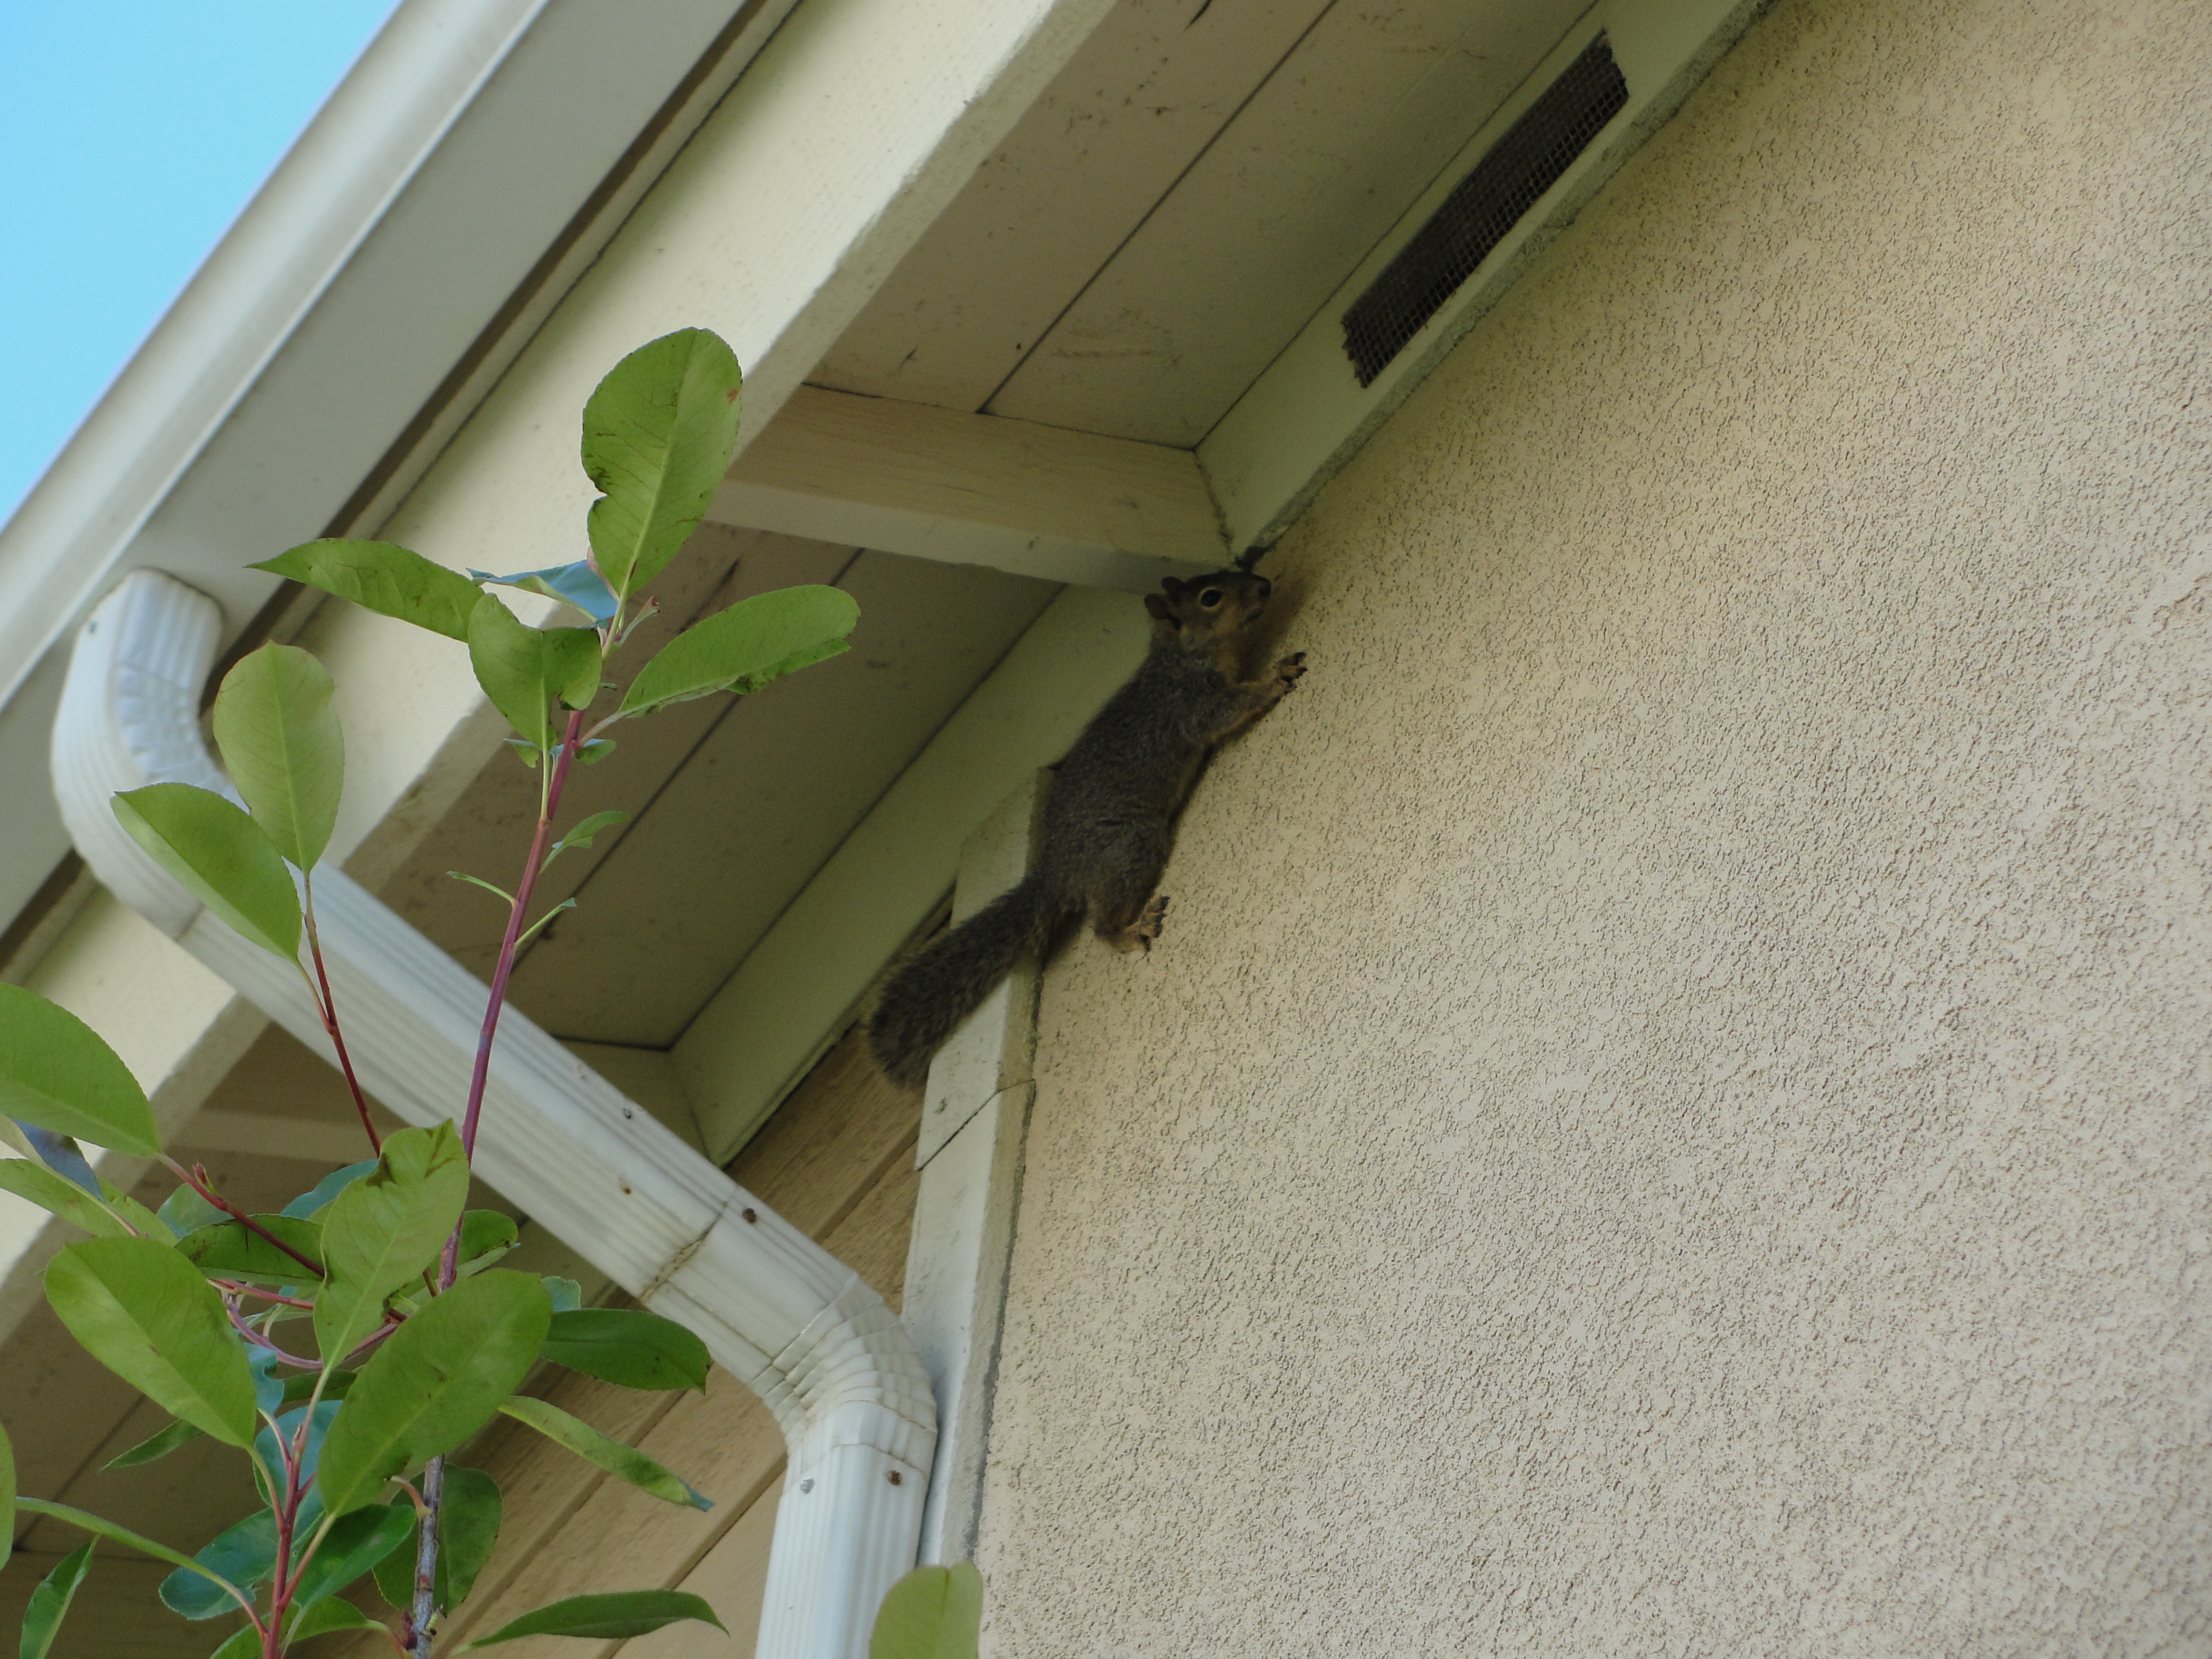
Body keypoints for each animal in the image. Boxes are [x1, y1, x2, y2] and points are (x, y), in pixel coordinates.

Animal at [868, 568, 1306, 1088]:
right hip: (1129, 845)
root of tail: (1055, 872)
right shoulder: (1192, 703)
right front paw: (1276, 675)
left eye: (1230, 575)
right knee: (1100, 925)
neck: (1180, 657)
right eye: (1211, 598)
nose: (1263, 586)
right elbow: (1228, 710)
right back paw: (1131, 929)